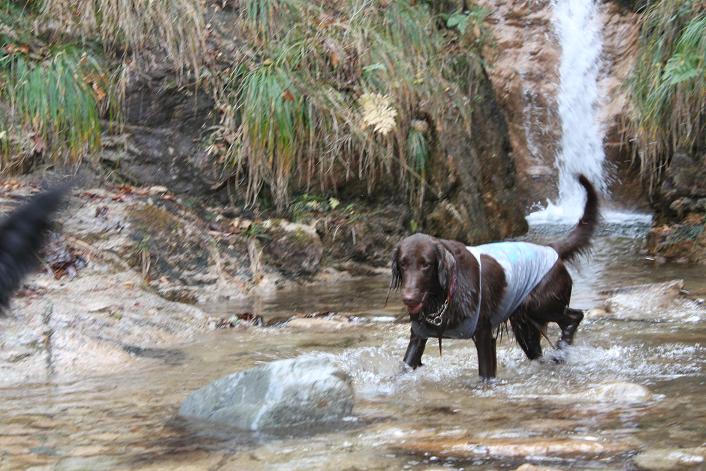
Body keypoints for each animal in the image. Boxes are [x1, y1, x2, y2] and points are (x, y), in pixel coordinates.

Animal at [388, 175, 596, 378]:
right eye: (403, 264)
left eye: (426, 265)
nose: (408, 298)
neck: (443, 297)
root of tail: (551, 248)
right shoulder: (419, 335)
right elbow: (406, 365)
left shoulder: (484, 334)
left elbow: (485, 375)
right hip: (524, 324)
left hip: (539, 304)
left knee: (574, 317)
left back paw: (561, 351)